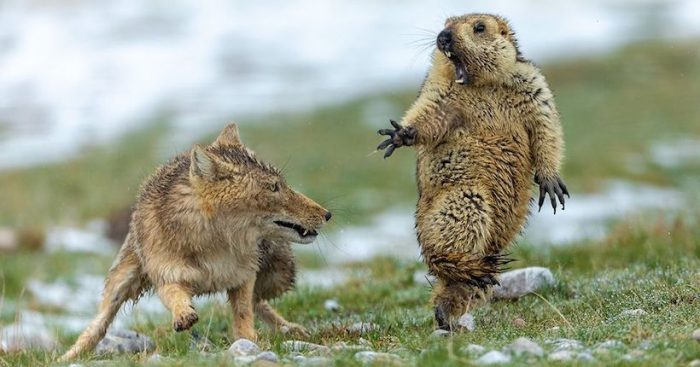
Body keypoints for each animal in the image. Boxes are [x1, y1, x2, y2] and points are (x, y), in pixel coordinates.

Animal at [60, 123, 330, 362]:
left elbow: (244, 312)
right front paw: (183, 315)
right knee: (98, 325)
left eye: (282, 184)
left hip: (279, 275)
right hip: (120, 282)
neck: (214, 246)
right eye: (274, 188)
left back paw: (290, 328)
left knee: (259, 301)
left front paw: (249, 341)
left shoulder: (243, 276)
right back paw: (68, 356)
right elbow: (175, 295)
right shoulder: (167, 275)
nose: (327, 214)